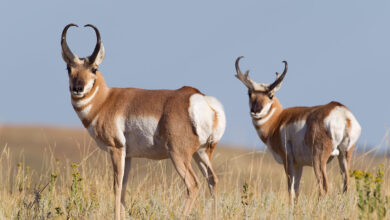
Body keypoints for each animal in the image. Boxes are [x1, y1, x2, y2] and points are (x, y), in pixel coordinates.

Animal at [61, 24, 225, 218]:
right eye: (68, 68)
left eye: (94, 69)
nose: (77, 88)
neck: (106, 100)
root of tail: (200, 100)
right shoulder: (128, 155)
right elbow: (123, 188)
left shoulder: (116, 149)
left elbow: (116, 187)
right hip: (202, 153)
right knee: (212, 180)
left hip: (178, 154)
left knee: (193, 185)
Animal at [233, 56, 362, 203]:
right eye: (249, 93)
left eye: (271, 95)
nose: (255, 111)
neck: (278, 120)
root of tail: (342, 113)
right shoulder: (299, 165)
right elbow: (297, 191)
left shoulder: (288, 162)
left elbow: (291, 190)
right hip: (344, 155)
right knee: (346, 185)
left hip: (318, 160)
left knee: (323, 187)